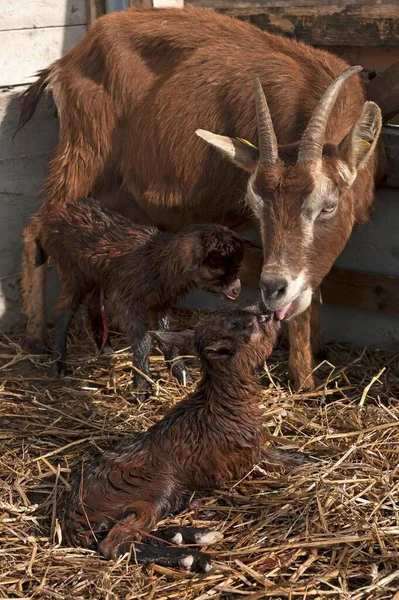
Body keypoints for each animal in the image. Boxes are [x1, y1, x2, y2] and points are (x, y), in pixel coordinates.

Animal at [36, 197, 245, 394]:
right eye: (213, 267)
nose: (236, 289)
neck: (157, 262)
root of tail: (52, 214)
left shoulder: (159, 303)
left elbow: (165, 338)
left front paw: (183, 376)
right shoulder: (127, 301)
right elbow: (143, 342)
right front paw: (142, 386)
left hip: (97, 276)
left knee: (93, 304)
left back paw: (106, 349)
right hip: (72, 271)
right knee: (63, 311)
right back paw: (58, 364)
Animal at [62, 304, 308, 572]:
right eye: (242, 325)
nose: (268, 312)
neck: (223, 403)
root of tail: (72, 514)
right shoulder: (245, 457)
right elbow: (281, 459)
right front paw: (310, 461)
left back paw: (194, 536)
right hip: (153, 488)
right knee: (115, 543)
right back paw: (193, 558)